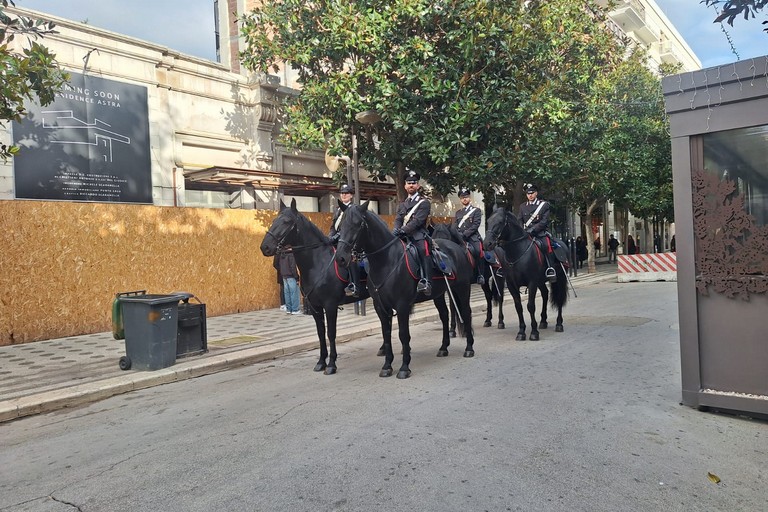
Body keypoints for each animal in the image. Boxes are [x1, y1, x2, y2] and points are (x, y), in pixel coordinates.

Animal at [260, 198, 377, 375]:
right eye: (274, 221)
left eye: (286, 221)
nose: (265, 247)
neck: (317, 263)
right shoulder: (315, 307)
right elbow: (321, 334)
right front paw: (321, 362)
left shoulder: (330, 305)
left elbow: (331, 333)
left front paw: (331, 364)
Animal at [333, 202, 475, 379]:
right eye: (340, 226)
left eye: (358, 224)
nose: (340, 258)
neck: (386, 261)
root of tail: (457, 247)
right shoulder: (381, 307)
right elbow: (386, 334)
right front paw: (387, 366)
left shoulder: (402, 305)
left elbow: (403, 334)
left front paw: (404, 367)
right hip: (438, 294)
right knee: (444, 315)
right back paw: (443, 348)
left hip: (462, 288)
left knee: (466, 313)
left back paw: (469, 348)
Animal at [483, 207, 568, 341]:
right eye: (488, 221)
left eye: (500, 222)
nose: (487, 244)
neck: (517, 252)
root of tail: (562, 243)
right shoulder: (512, 285)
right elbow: (518, 307)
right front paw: (521, 332)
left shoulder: (532, 283)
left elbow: (530, 306)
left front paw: (534, 332)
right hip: (541, 281)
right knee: (545, 294)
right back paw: (543, 321)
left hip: (560, 278)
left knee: (559, 297)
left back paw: (559, 324)